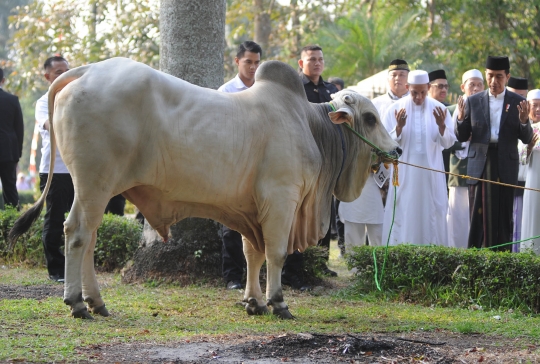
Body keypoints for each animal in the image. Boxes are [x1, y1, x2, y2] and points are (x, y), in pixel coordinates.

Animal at [7, 57, 396, 318]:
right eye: (370, 118)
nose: (397, 150)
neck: (311, 127)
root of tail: (85, 70)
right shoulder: (281, 198)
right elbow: (276, 253)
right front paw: (278, 302)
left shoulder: (251, 208)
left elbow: (252, 253)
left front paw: (253, 301)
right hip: (93, 183)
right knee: (75, 233)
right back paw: (77, 303)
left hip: (97, 189)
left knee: (89, 238)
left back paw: (96, 302)